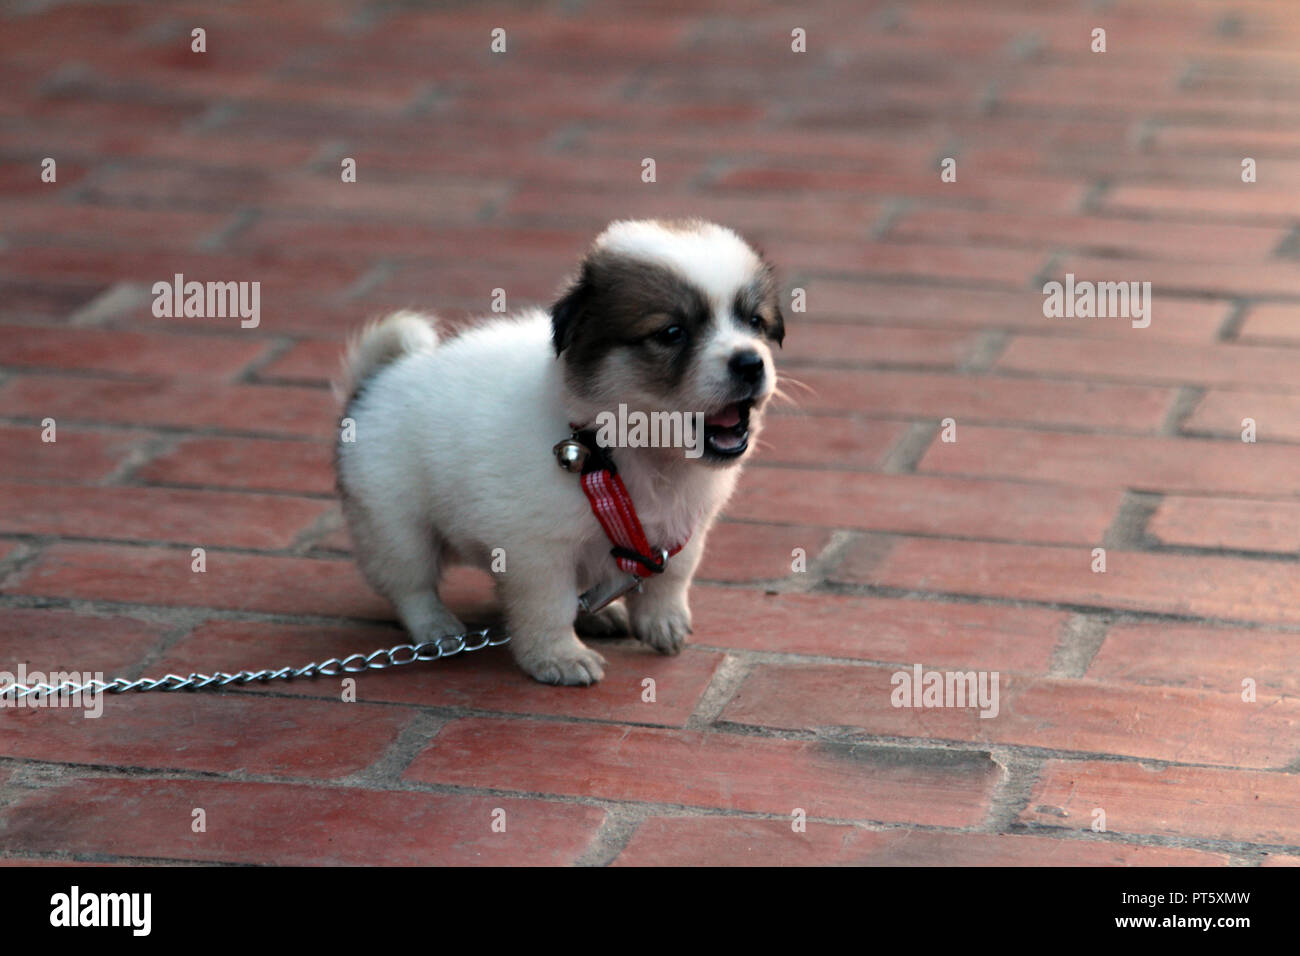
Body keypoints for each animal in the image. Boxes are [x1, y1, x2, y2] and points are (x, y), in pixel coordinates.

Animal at [335, 221, 780, 686]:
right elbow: (549, 608)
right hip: (394, 524)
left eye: (755, 322)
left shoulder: (682, 530)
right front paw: (558, 657)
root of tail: (375, 381)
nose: (750, 362)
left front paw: (663, 620)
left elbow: (672, 577)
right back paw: (436, 629)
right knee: (411, 585)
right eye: (672, 333)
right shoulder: (537, 551)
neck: (610, 452)